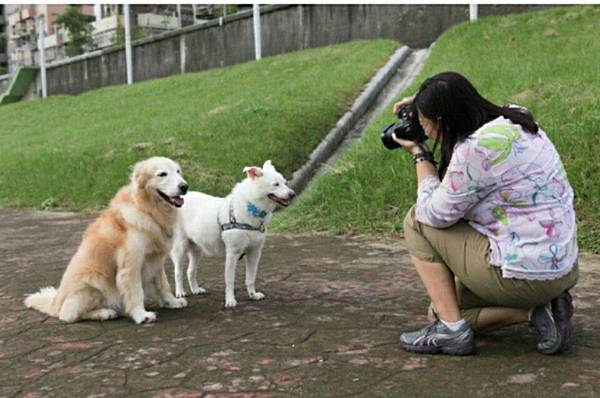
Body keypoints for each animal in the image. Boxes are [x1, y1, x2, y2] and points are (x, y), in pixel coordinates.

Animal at [171, 159, 296, 308]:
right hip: (180, 249)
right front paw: (230, 300)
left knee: (190, 271)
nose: (293, 194)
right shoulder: (232, 254)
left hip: (197, 250)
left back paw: (195, 289)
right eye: (276, 184)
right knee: (178, 272)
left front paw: (253, 295)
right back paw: (180, 292)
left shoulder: (254, 253)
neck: (251, 205)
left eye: (285, 182)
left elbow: (251, 278)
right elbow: (230, 281)